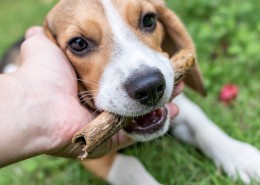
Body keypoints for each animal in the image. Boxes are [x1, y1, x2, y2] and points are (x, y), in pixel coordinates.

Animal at [1, 0, 260, 184]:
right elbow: (130, 168)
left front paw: (242, 158)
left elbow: (201, 124)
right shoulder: (85, 151)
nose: (149, 87)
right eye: (78, 43)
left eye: (149, 19)